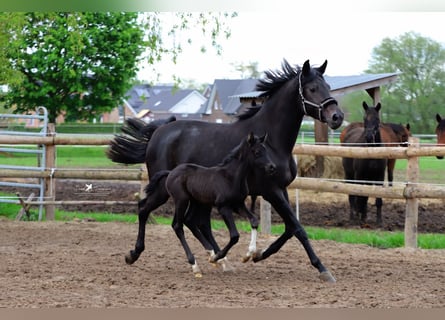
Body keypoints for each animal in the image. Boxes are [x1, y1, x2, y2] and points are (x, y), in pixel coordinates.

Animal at [149, 131, 274, 276]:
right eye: (257, 152)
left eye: (266, 150)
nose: (272, 167)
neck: (231, 177)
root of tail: (170, 173)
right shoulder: (223, 207)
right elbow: (235, 235)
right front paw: (218, 257)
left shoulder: (238, 204)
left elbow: (254, 220)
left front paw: (248, 255)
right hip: (181, 200)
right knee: (177, 226)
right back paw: (196, 265)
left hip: (196, 202)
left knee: (189, 221)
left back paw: (210, 254)